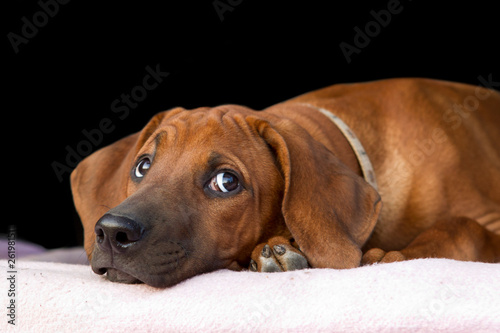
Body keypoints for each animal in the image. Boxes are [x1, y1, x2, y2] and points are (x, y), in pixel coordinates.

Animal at [71, 77, 500, 286]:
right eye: (142, 166)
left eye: (226, 182)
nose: (112, 233)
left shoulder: (488, 220)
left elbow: (463, 225)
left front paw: (396, 257)